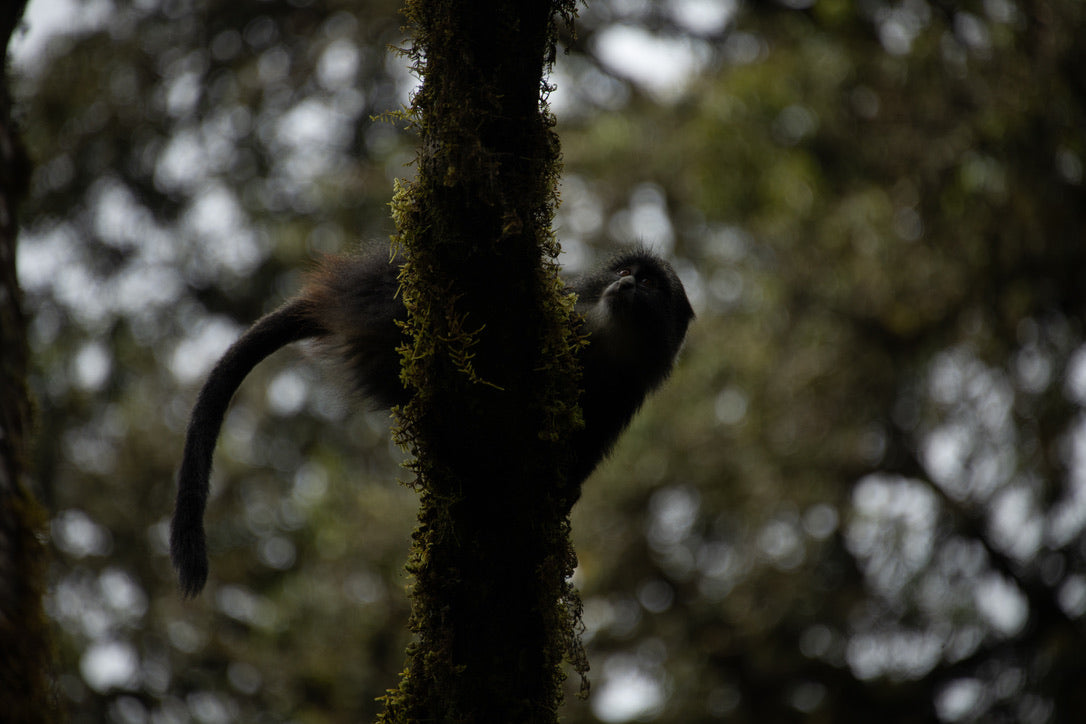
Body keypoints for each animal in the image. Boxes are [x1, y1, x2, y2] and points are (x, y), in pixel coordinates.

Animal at [170, 248, 694, 597]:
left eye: (649, 284)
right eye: (624, 271)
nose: (625, 285)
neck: (607, 342)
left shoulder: (623, 393)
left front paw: (562, 493)